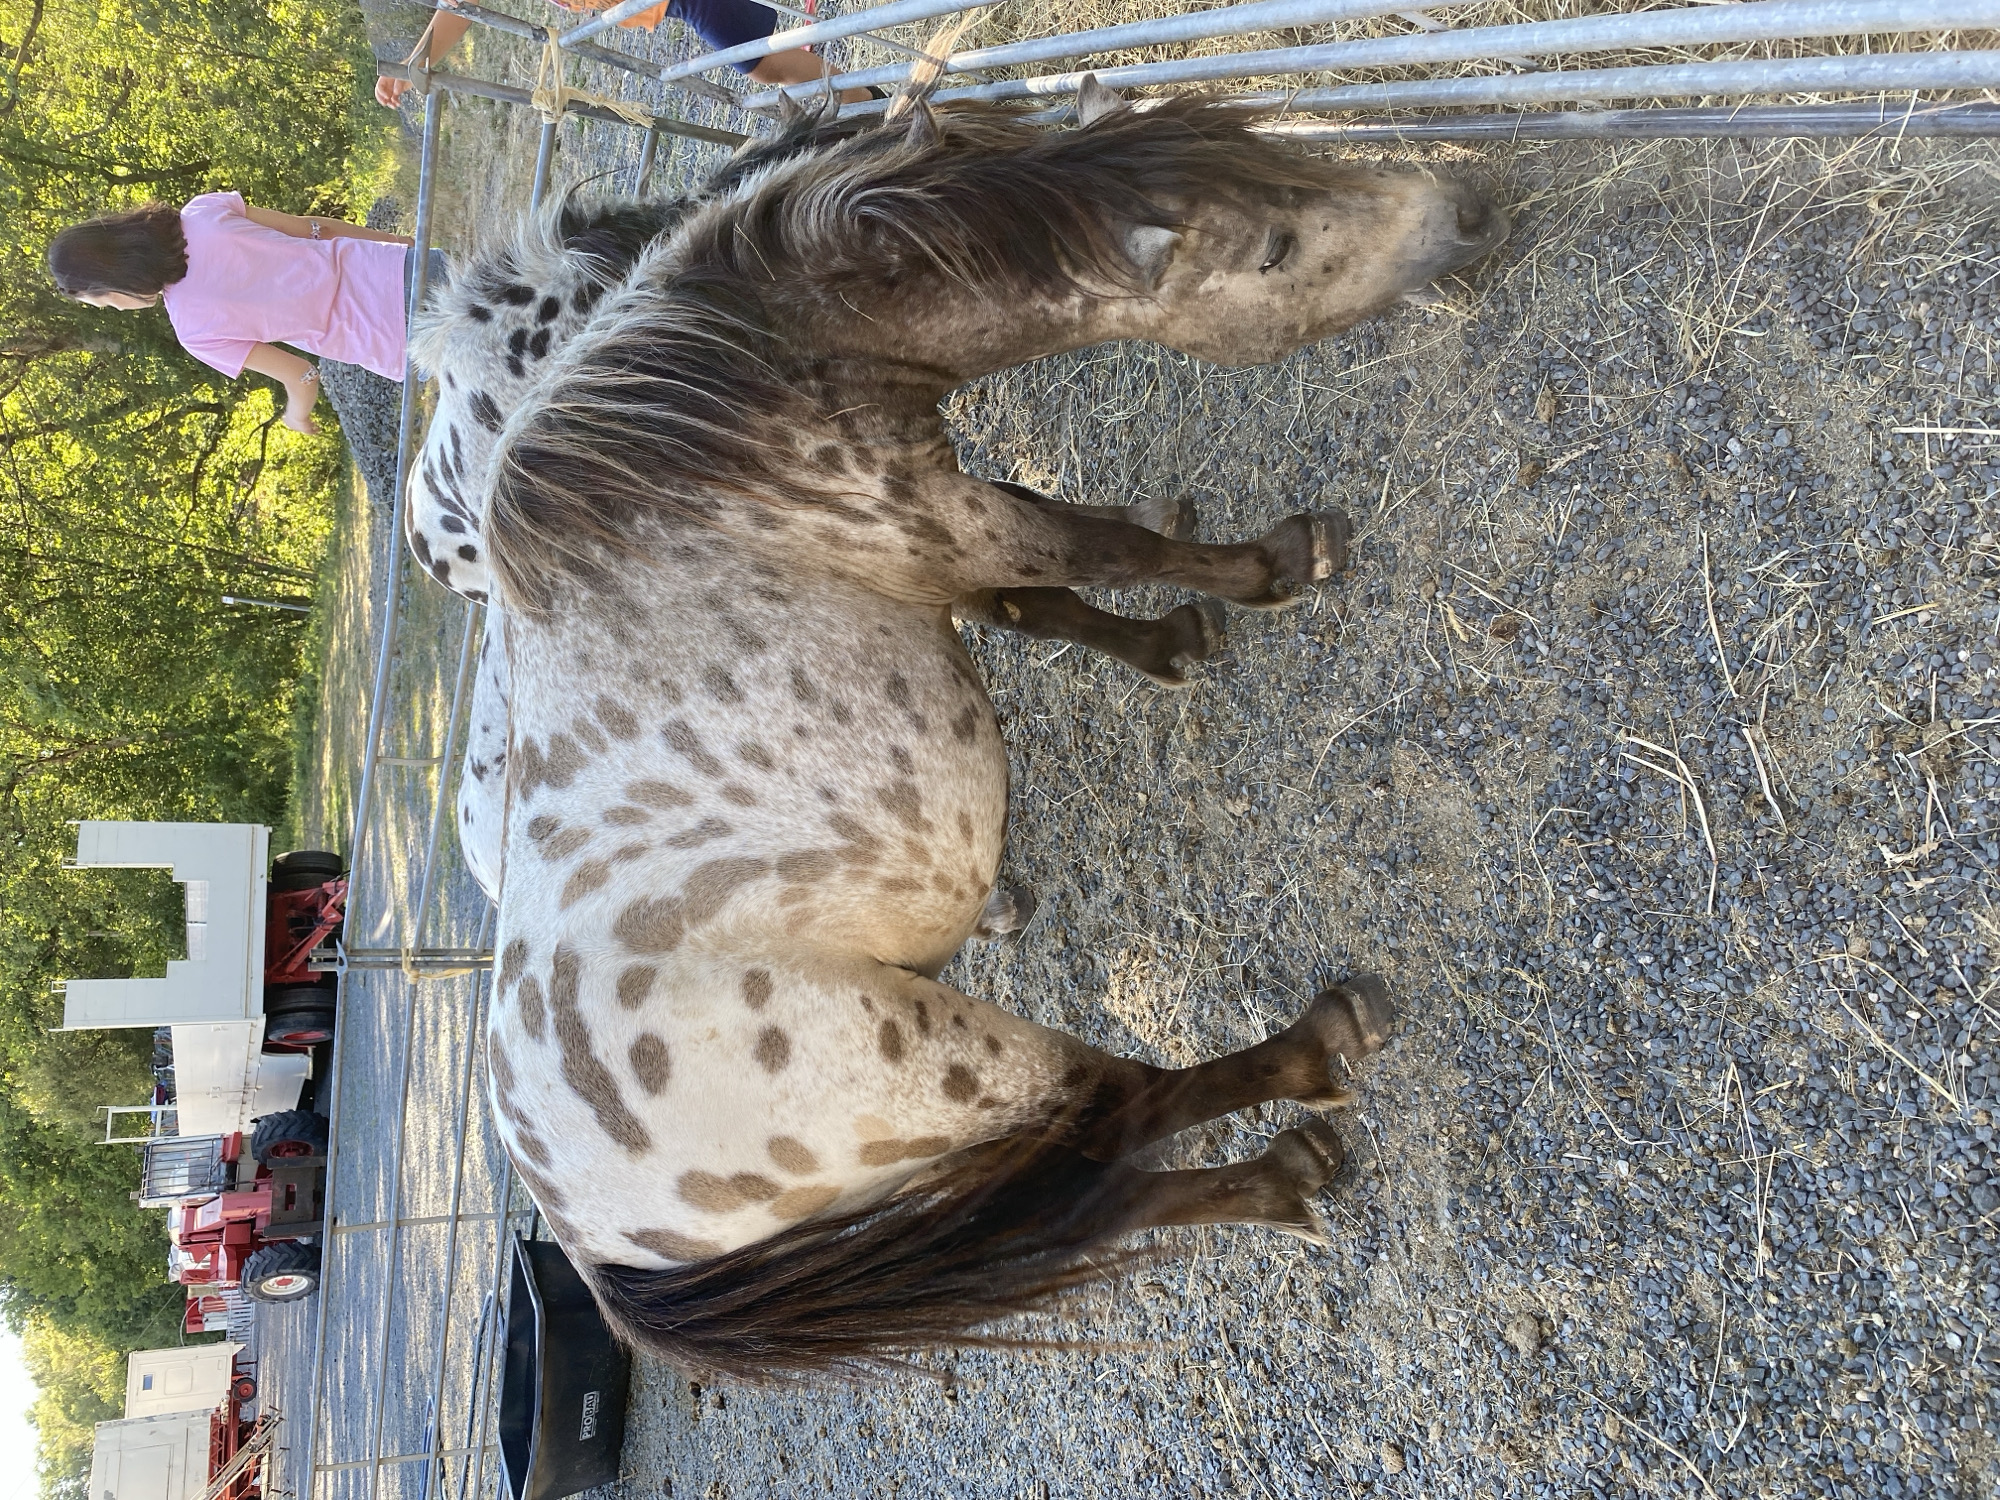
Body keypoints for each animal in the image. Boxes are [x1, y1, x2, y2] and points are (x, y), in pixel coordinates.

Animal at [475, 86, 1505, 1379]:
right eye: (1271, 246)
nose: (1471, 208)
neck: (713, 424)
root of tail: (594, 1241)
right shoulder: (949, 522)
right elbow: (1106, 548)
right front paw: (1269, 568)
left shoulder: (949, 547)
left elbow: (1044, 604)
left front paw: (1171, 645)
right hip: (966, 1067)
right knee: (1127, 1109)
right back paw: (1314, 1056)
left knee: (1100, 1190)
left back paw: (1280, 1183)